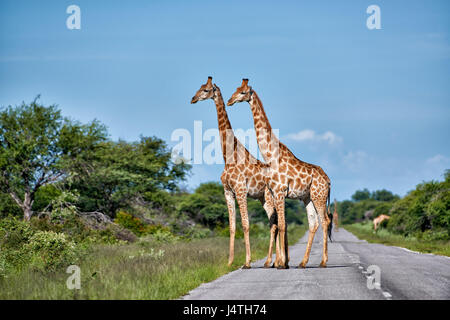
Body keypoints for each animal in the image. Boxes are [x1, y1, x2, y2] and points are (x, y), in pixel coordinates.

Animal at [191, 76, 282, 268]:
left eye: (206, 90)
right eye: (200, 87)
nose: (193, 99)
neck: (229, 156)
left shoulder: (240, 190)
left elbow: (246, 224)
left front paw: (247, 261)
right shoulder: (227, 191)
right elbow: (232, 226)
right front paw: (229, 261)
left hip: (269, 196)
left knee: (275, 223)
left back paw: (276, 261)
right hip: (262, 198)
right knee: (274, 223)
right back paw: (273, 261)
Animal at [227, 79, 332, 268]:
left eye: (243, 92)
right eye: (236, 89)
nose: (229, 101)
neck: (271, 156)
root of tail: (328, 180)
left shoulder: (280, 191)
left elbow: (282, 225)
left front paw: (281, 263)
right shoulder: (274, 192)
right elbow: (280, 224)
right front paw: (282, 262)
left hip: (318, 196)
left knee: (325, 221)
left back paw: (322, 261)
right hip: (307, 197)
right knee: (313, 223)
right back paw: (303, 262)